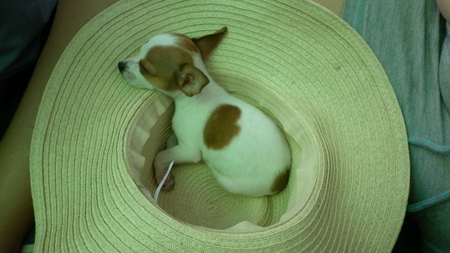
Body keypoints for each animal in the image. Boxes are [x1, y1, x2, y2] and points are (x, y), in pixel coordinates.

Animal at [118, 27, 290, 198]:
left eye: (144, 68)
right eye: (140, 50)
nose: (120, 64)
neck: (195, 96)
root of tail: (282, 179)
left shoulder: (189, 151)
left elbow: (160, 157)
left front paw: (163, 177)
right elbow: (170, 143)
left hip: (229, 182)